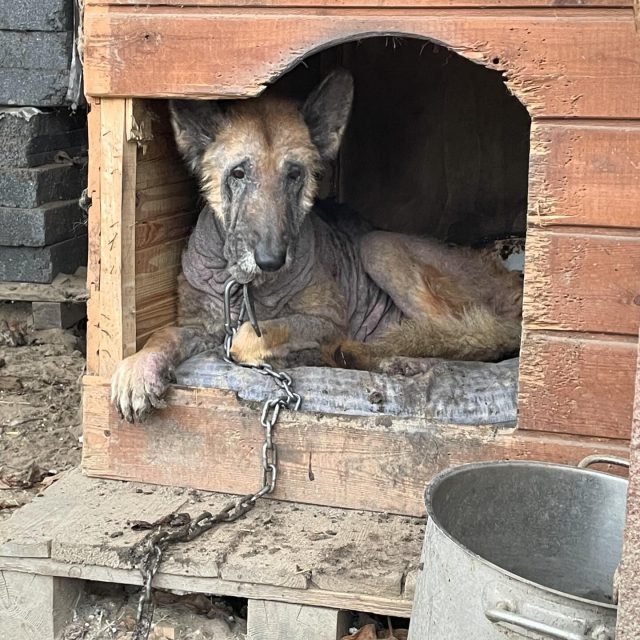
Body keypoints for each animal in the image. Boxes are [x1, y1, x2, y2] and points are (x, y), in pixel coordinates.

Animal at [112, 70, 524, 422]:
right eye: (239, 173)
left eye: (295, 174)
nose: (271, 260)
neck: (248, 288)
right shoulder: (201, 326)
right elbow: (165, 333)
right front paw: (138, 367)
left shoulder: (325, 321)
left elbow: (254, 336)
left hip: (379, 246)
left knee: (468, 337)